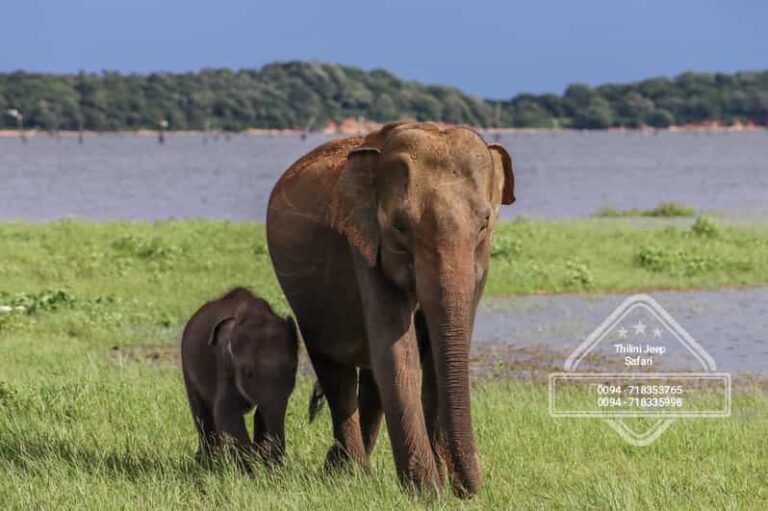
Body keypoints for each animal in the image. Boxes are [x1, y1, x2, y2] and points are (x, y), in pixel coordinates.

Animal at [182, 288, 298, 468]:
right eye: (247, 372)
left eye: (293, 367)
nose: (275, 463)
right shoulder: (224, 365)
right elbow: (225, 411)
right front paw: (249, 467)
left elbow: (262, 414)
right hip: (187, 370)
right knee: (202, 416)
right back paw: (207, 463)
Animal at [266, 120, 516, 496]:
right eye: (399, 227)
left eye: (485, 222)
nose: (467, 489)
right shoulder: (363, 245)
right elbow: (398, 351)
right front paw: (428, 493)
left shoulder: (480, 266)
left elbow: (436, 355)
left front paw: (440, 486)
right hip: (308, 304)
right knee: (336, 374)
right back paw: (348, 474)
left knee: (370, 381)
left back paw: (342, 469)